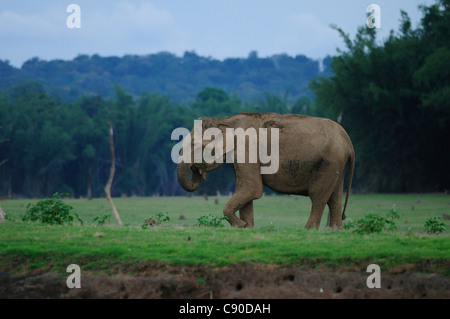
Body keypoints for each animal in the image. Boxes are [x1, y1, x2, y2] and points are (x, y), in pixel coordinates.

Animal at [176, 112, 356, 230]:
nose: (197, 169)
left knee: (319, 196)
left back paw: (308, 230)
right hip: (336, 165)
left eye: (195, 145)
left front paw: (240, 225)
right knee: (334, 197)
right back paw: (334, 230)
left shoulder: (247, 149)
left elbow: (252, 188)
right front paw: (247, 227)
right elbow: (246, 189)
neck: (225, 121)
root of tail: (348, 141)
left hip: (329, 163)